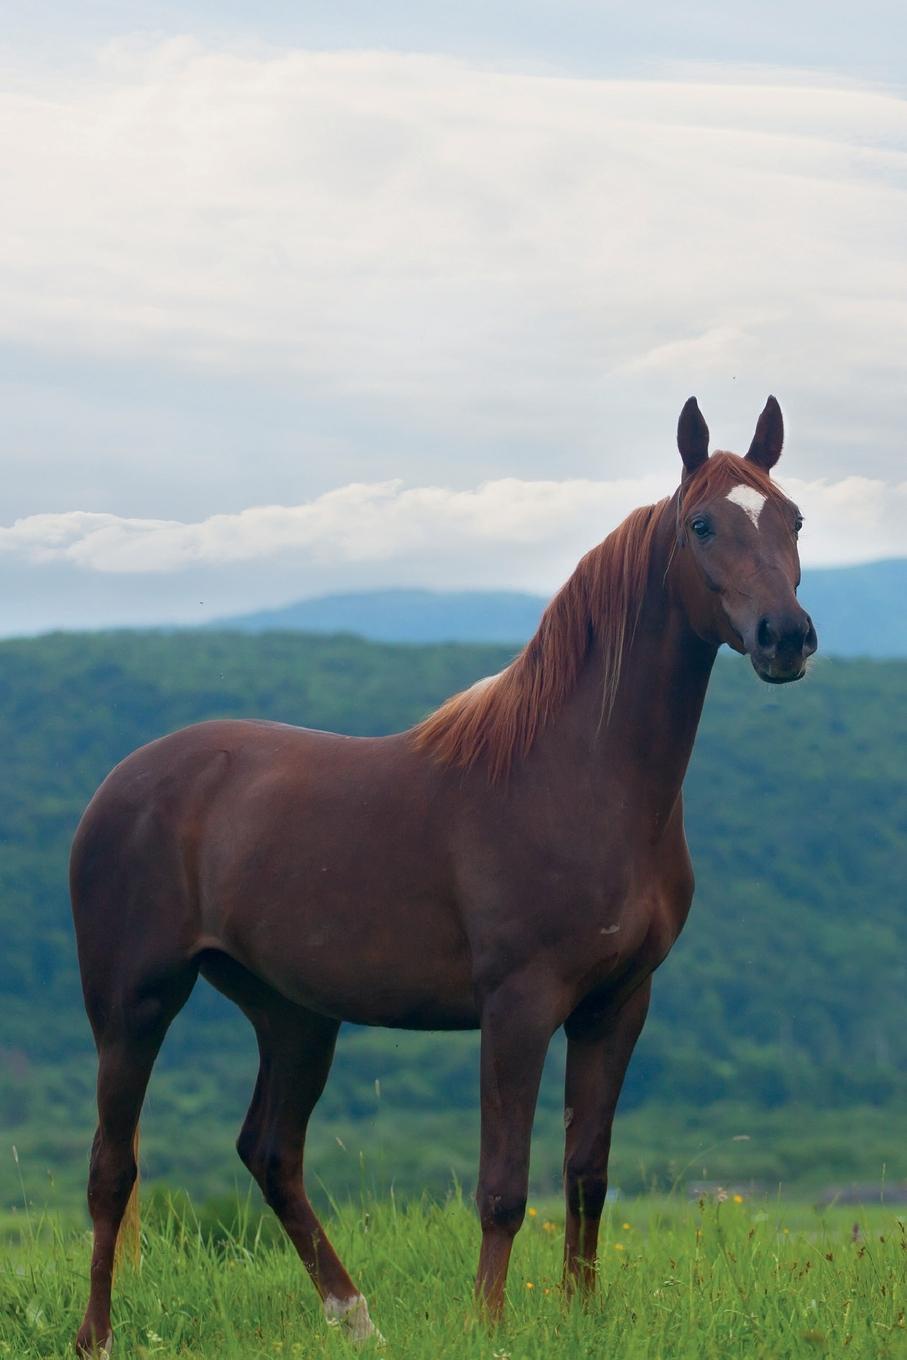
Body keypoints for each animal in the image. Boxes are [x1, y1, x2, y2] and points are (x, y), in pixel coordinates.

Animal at [74, 394, 821, 1349]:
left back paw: (356, 1320)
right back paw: (96, 1336)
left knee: (270, 1153)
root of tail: (121, 781)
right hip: (133, 1005)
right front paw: (489, 1324)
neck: (577, 778)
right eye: (701, 524)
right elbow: (502, 1186)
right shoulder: (517, 1006)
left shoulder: (617, 1006)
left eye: (791, 518)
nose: (784, 638)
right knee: (112, 1171)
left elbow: (586, 1170)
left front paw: (579, 1314)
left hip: (291, 1014)